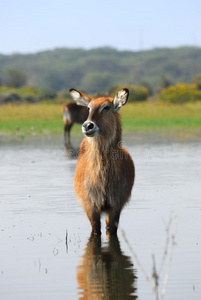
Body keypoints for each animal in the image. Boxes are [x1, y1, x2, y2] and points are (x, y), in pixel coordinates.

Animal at [69, 88, 135, 236]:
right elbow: (96, 231)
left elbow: (111, 230)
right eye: (88, 108)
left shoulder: (116, 205)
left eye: (106, 107)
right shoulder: (91, 206)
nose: (87, 125)